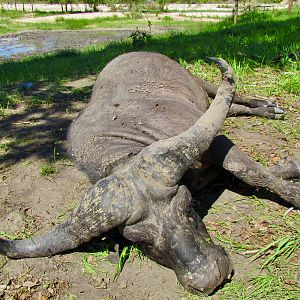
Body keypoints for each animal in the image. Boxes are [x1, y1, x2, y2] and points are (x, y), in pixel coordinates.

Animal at [0, 52, 300, 296]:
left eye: (187, 207)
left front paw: (293, 188)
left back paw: (269, 107)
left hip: (201, 81)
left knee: (230, 96)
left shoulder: (215, 141)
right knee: (232, 106)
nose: (209, 278)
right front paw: (287, 168)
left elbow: (250, 172)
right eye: (140, 241)